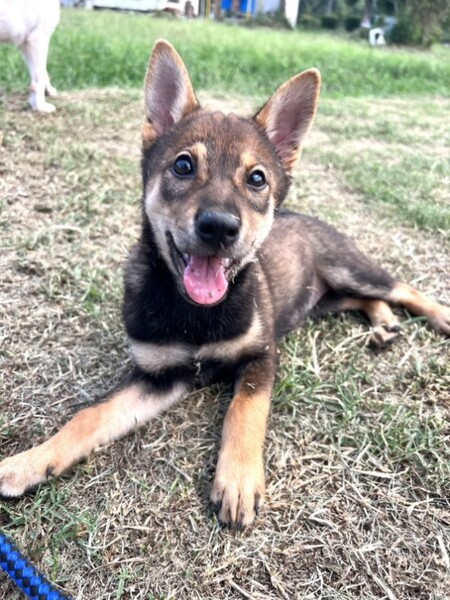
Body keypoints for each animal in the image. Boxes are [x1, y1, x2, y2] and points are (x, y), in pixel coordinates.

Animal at [0, 40, 449, 529]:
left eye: (257, 178)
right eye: (183, 165)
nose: (219, 227)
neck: (195, 312)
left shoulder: (261, 357)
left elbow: (244, 410)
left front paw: (237, 479)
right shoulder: (158, 378)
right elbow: (89, 417)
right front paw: (28, 462)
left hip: (348, 267)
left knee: (400, 288)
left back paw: (436, 316)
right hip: (323, 297)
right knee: (363, 299)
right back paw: (384, 325)